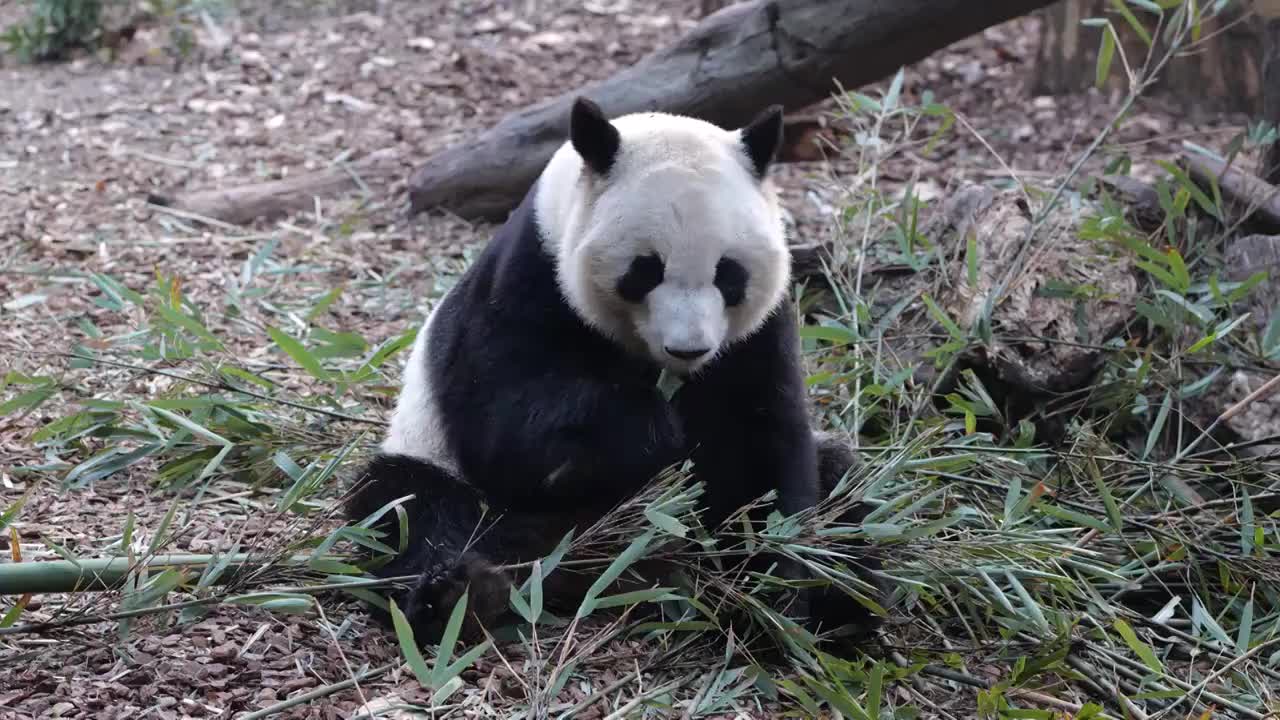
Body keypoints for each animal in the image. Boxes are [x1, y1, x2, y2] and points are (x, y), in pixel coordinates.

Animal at [340, 96, 880, 645]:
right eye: (646, 269)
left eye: (728, 273)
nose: (688, 348)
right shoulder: (526, 282)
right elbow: (504, 428)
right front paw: (649, 432)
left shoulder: (756, 335)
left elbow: (763, 449)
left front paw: (772, 597)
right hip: (436, 463)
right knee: (411, 509)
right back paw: (461, 595)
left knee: (844, 486)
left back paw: (851, 605)